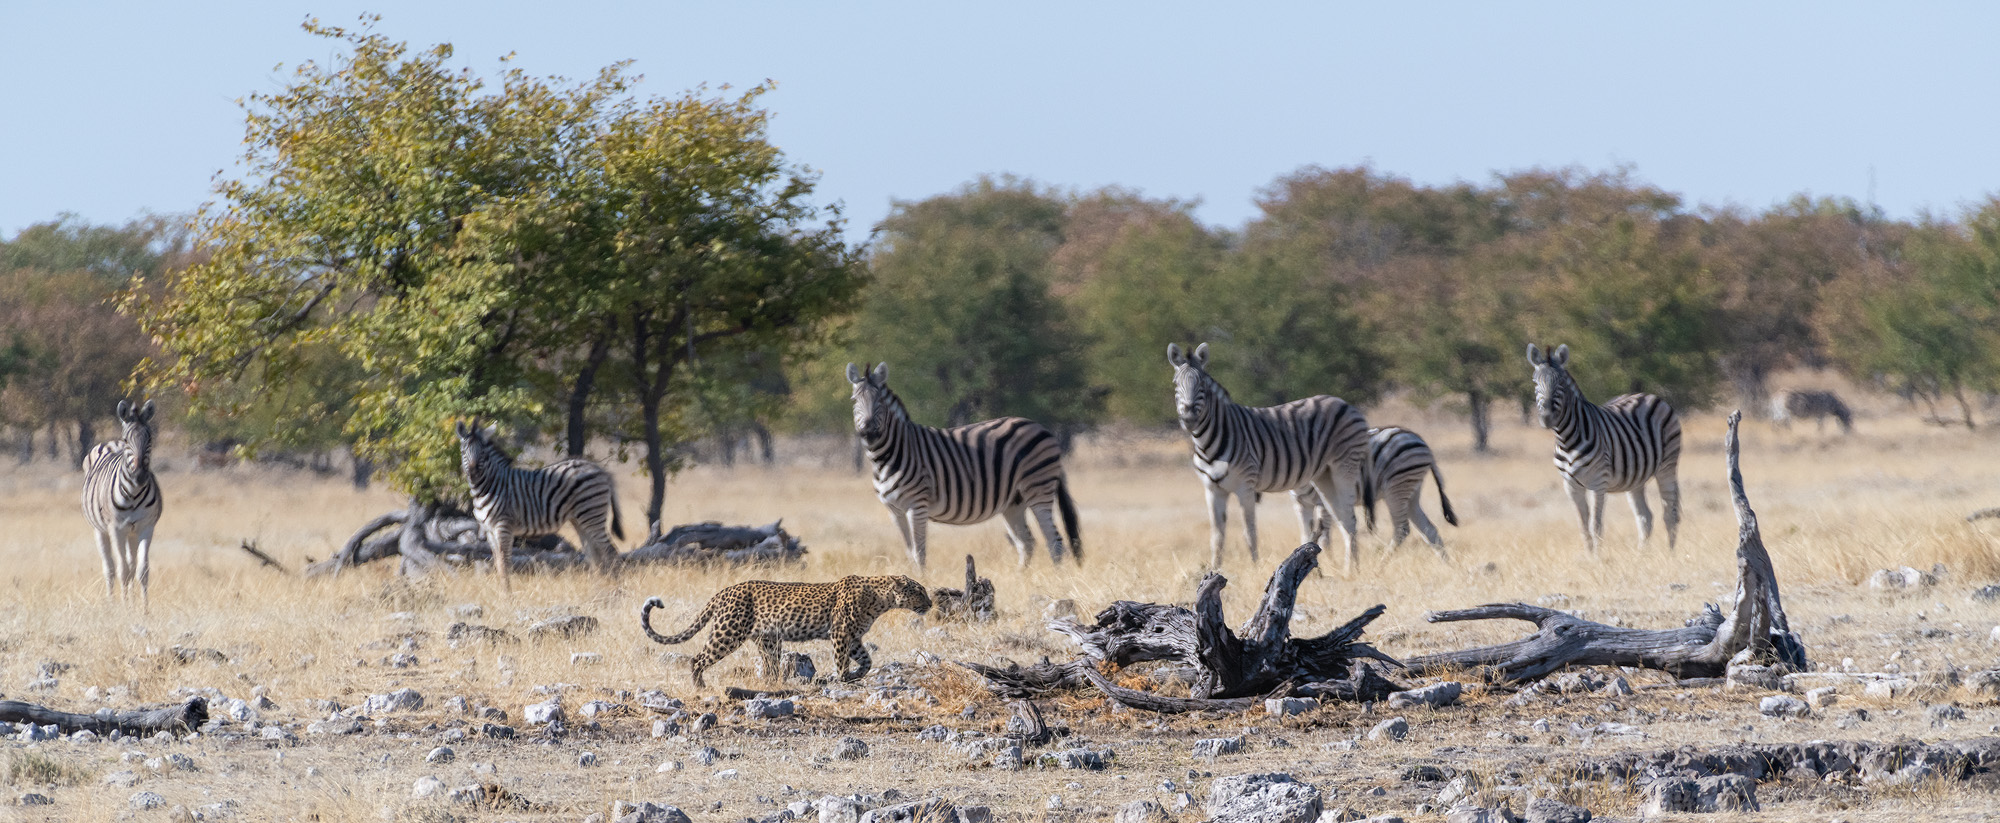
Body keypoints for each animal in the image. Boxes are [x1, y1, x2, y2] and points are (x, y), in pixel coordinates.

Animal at [82, 400, 164, 607]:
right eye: (128, 440)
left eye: (150, 439)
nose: (140, 476)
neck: (133, 494)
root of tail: (111, 442)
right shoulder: (116, 529)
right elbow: (123, 571)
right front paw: (125, 607)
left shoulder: (146, 527)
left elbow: (142, 570)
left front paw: (142, 608)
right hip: (100, 530)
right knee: (110, 568)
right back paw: (112, 602)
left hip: (132, 532)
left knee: (132, 564)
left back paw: (132, 600)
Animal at [455, 421, 625, 589]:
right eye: (463, 451)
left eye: (483, 452)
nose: (473, 474)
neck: (489, 486)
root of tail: (599, 469)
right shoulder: (489, 530)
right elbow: (497, 562)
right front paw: (502, 590)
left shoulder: (503, 526)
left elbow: (505, 562)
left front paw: (507, 593)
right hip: (580, 519)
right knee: (595, 554)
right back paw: (598, 587)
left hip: (592, 514)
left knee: (610, 551)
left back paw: (616, 588)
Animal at [846, 362, 1081, 569]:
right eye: (854, 401)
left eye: (879, 401)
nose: (869, 431)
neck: (888, 457)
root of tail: (1043, 428)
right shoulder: (895, 511)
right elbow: (910, 553)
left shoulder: (917, 505)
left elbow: (919, 553)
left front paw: (922, 582)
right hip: (1014, 502)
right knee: (1027, 543)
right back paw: (1021, 579)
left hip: (1038, 489)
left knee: (1055, 542)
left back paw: (1055, 580)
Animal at [1167, 342, 1372, 573]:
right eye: (1175, 384)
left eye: (1201, 384)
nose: (1189, 418)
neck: (1209, 441)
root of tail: (1345, 403)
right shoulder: (1212, 490)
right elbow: (1217, 537)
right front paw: (1214, 570)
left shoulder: (1245, 486)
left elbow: (1250, 533)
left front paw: (1255, 569)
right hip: (1324, 476)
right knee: (1342, 518)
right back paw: (1348, 569)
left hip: (1344, 466)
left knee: (1350, 518)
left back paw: (1352, 570)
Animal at [1526, 343, 1682, 554]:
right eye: (1535, 382)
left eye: (1561, 383)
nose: (1547, 417)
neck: (1567, 440)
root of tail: (1648, 395)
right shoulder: (1571, 486)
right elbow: (1583, 527)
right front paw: (1589, 557)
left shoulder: (1597, 483)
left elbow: (1596, 525)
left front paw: (1598, 559)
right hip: (1636, 478)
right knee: (1645, 517)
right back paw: (1641, 556)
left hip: (1667, 465)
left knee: (1670, 514)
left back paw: (1670, 555)